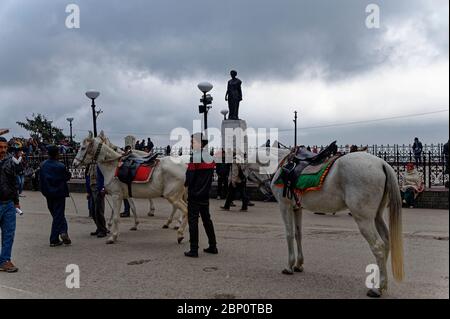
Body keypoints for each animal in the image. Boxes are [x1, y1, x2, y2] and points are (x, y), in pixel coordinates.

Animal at [244, 149, 402, 298]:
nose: (266, 190)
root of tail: (382, 163)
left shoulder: (285, 206)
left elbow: (289, 234)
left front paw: (289, 266)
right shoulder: (297, 208)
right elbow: (298, 234)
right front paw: (298, 264)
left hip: (364, 219)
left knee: (378, 246)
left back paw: (377, 288)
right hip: (376, 216)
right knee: (386, 242)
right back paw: (381, 282)